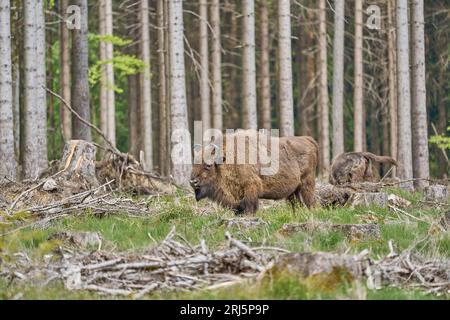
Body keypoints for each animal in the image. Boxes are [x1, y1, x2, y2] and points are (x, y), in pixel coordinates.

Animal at [190, 130, 320, 215]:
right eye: (193, 163)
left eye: (208, 165)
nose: (193, 181)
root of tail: (309, 140)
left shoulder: (250, 189)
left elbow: (249, 207)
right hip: (293, 191)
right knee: (297, 205)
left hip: (307, 184)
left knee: (311, 202)